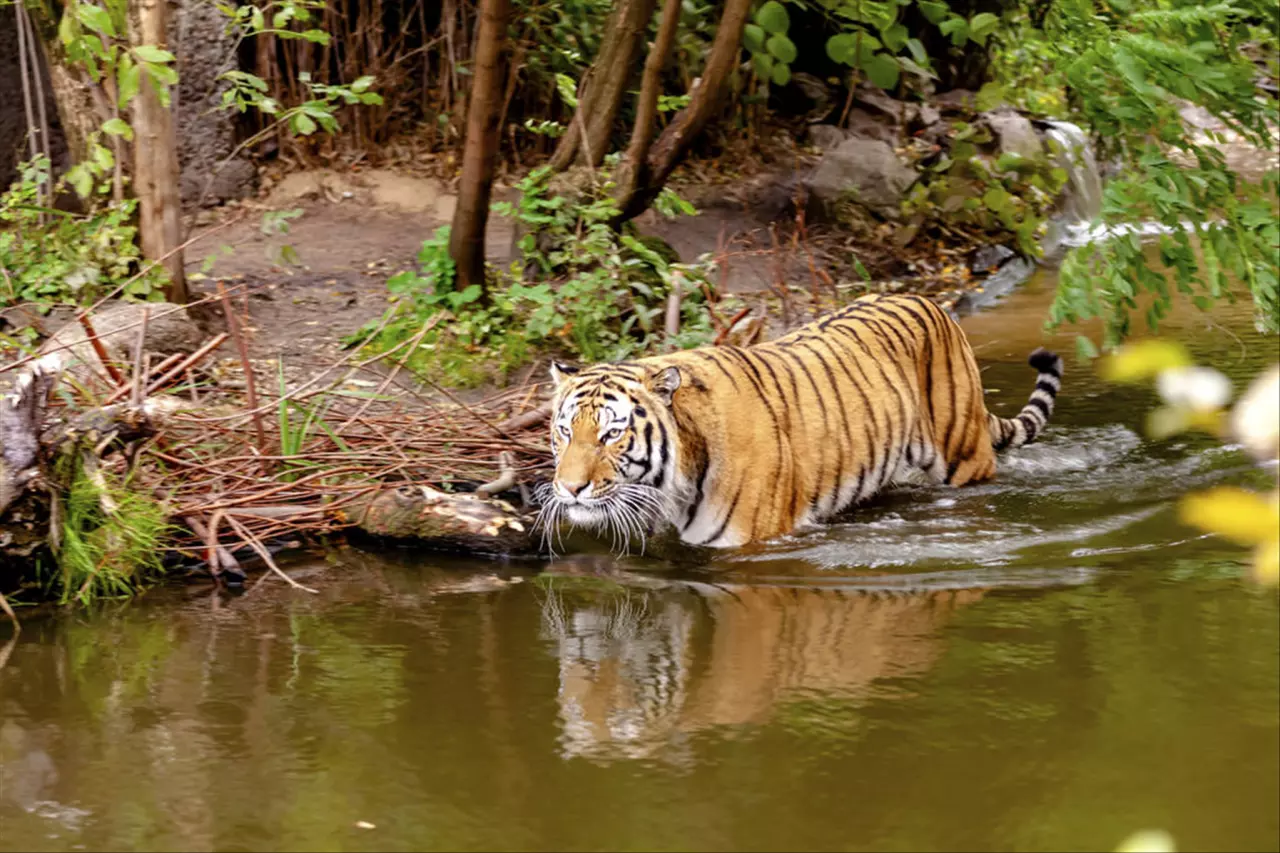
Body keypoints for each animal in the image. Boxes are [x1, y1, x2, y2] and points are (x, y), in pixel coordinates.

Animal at [540, 289, 1059, 548]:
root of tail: (935, 303)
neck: (676, 481)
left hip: (965, 459)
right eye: (564, 431)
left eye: (611, 435)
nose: (569, 488)